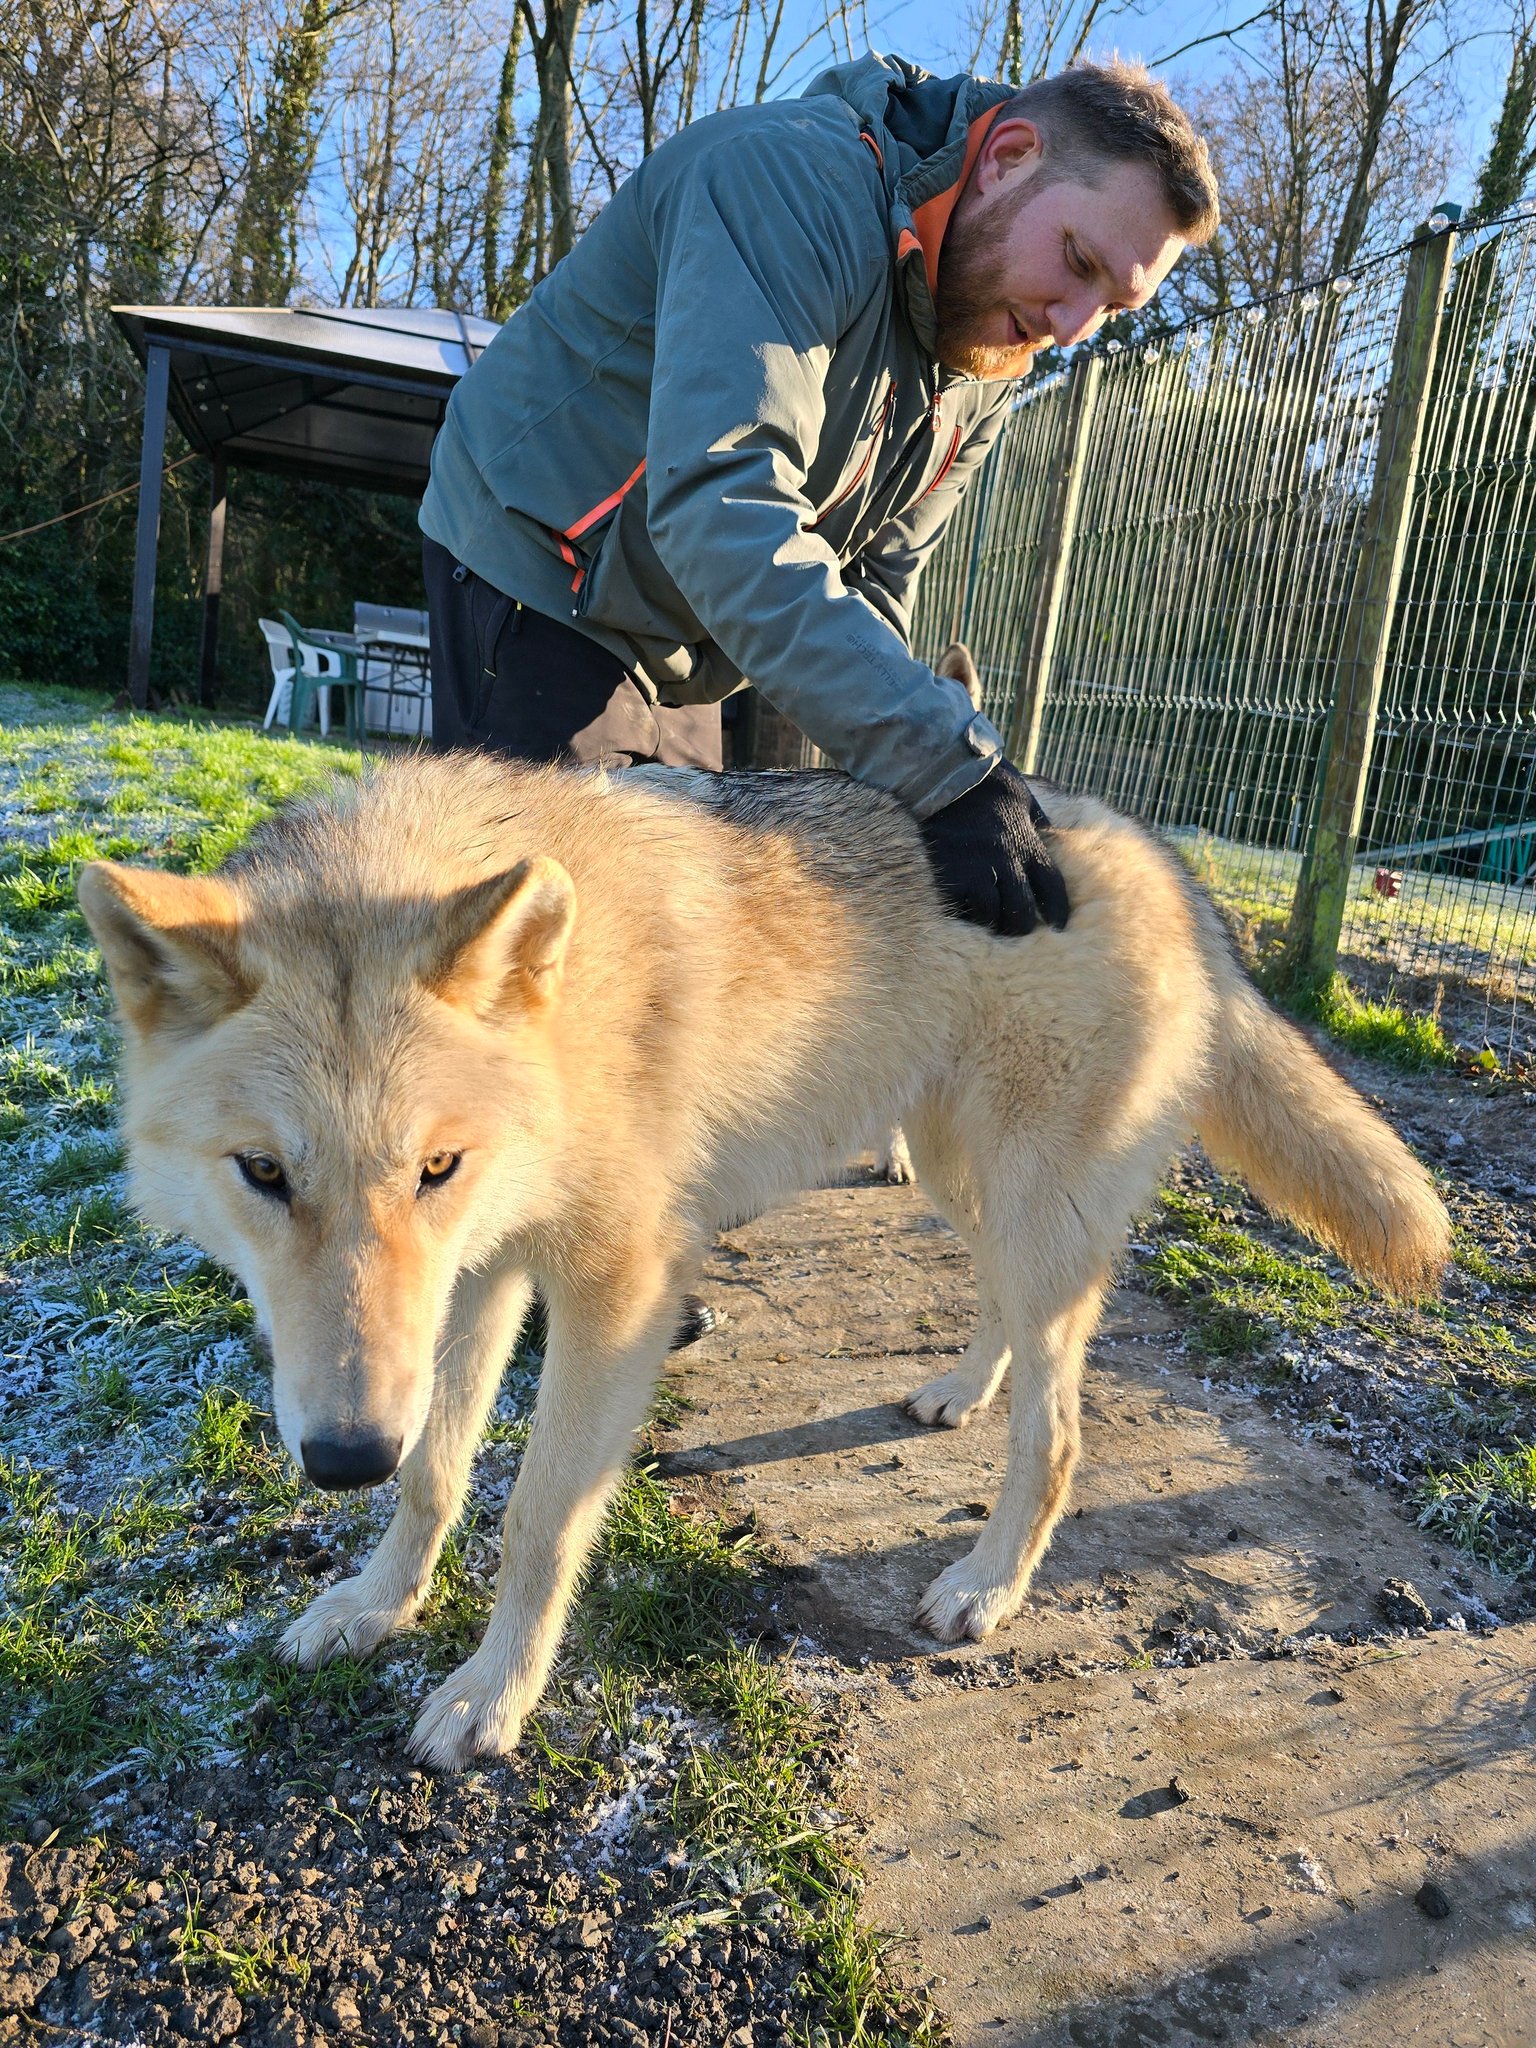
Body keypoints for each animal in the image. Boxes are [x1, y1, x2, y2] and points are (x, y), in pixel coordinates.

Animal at [78, 751, 1449, 1771]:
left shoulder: (610, 1293)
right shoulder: (482, 1280)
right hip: (959, 1180)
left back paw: (985, 1586)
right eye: (265, 1173)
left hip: (1026, 1210)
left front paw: (490, 1695)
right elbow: (436, 1474)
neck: (566, 1015)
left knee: (1059, 1436)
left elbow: (537, 1517)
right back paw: (957, 1393)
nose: (339, 1457)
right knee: (1006, 1329)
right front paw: (376, 1604)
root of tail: (1169, 866)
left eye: (435, 1166)